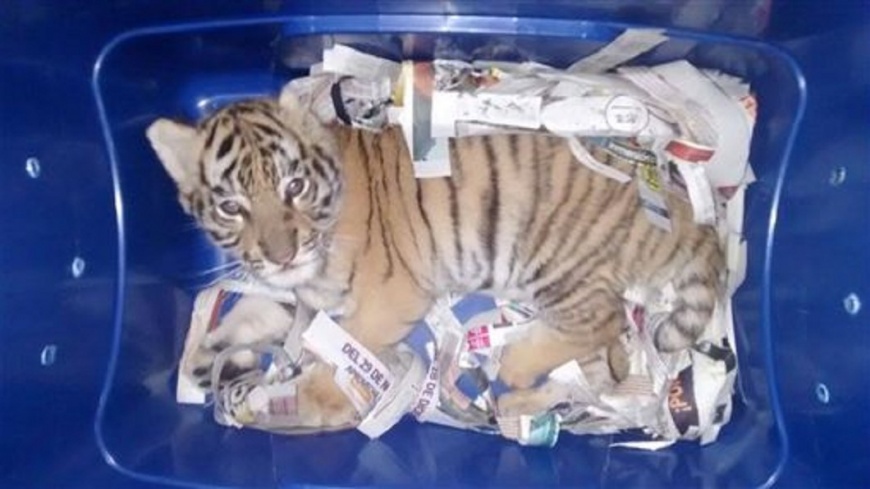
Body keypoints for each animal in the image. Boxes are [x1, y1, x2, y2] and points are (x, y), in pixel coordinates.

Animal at [146, 83, 724, 430]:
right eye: (231, 206)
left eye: (294, 186)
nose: (283, 254)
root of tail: (683, 208)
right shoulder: (302, 296)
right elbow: (250, 314)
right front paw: (205, 361)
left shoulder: (388, 296)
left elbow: (344, 356)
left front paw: (303, 401)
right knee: (607, 367)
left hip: (557, 262)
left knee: (599, 320)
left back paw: (514, 367)